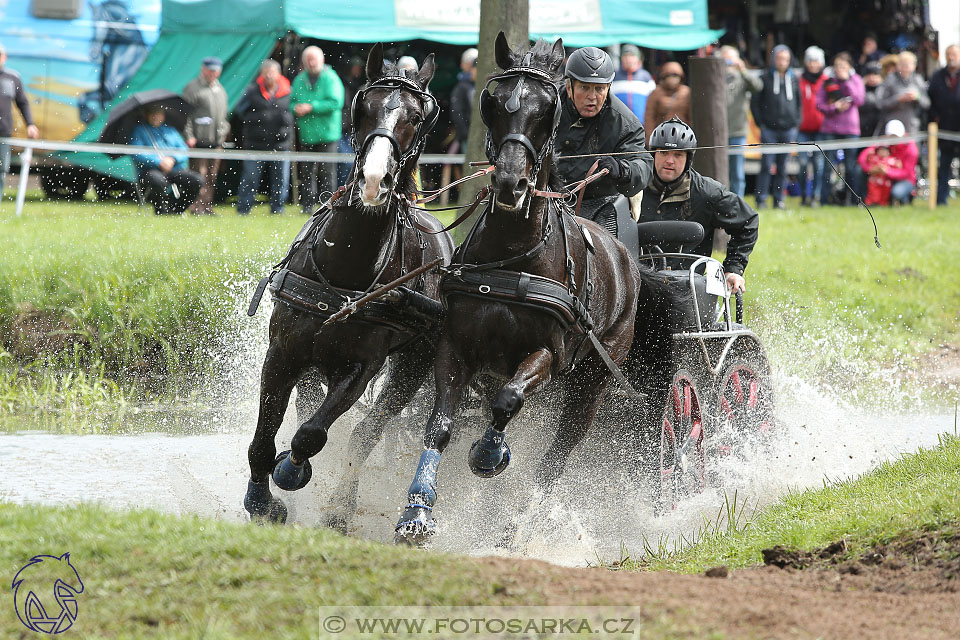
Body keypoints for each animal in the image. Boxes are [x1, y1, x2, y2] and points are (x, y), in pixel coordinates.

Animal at [244, 43, 454, 524]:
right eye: (365, 106)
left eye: (418, 116)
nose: (375, 180)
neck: (345, 268)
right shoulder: (283, 352)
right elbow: (264, 437)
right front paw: (261, 500)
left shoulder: (361, 366)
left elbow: (311, 436)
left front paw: (291, 471)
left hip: (412, 366)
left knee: (367, 431)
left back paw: (342, 504)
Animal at [394, 33, 680, 544]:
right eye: (493, 102)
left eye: (548, 109)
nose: (512, 183)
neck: (514, 254)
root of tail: (630, 264)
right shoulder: (456, 346)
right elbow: (440, 425)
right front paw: (417, 511)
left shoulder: (548, 353)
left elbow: (508, 401)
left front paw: (489, 454)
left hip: (592, 383)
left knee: (555, 459)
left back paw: (513, 529)